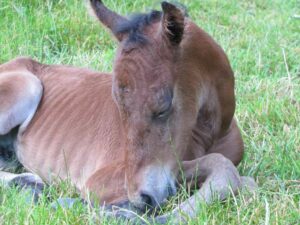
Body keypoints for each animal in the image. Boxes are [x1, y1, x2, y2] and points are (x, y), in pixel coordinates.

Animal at [0, 0, 258, 223]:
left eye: (163, 107)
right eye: (118, 104)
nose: (141, 198)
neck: (212, 134)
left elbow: (244, 180)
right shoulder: (103, 180)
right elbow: (222, 166)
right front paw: (119, 213)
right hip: (28, 86)